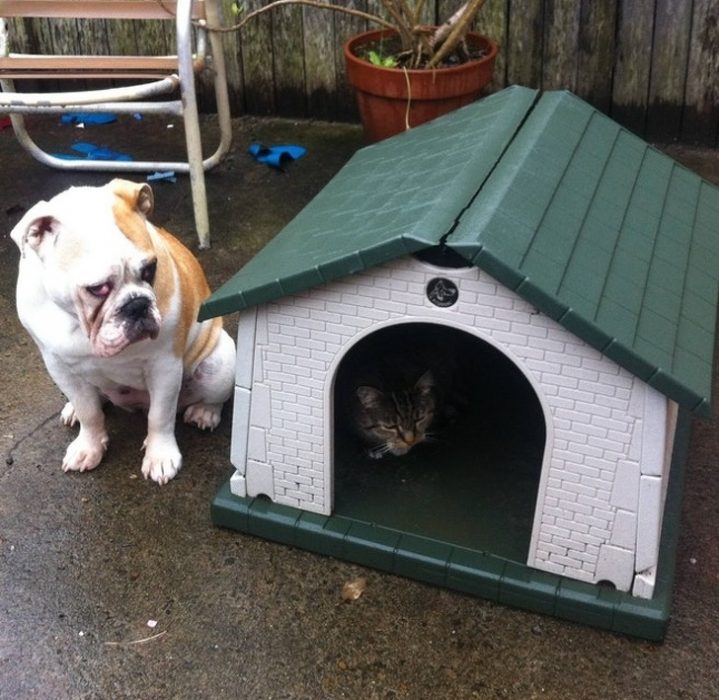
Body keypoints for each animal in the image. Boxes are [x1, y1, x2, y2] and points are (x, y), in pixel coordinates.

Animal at [10, 178, 236, 484]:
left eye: (150, 269)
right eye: (98, 288)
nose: (137, 304)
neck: (79, 324)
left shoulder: (164, 366)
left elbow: (160, 416)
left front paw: (160, 455)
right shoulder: (58, 366)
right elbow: (89, 412)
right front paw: (89, 446)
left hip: (221, 360)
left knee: (215, 396)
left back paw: (204, 412)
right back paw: (73, 410)